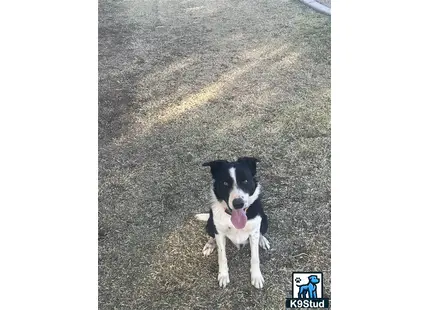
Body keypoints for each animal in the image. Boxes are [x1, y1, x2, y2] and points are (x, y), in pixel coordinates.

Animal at [197, 156, 270, 290]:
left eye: (245, 181)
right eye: (225, 183)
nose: (238, 203)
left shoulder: (254, 232)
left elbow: (255, 257)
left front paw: (256, 276)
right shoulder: (220, 233)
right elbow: (222, 257)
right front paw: (223, 275)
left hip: (264, 220)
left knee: (261, 232)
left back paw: (262, 240)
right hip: (210, 223)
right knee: (212, 235)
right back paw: (210, 244)